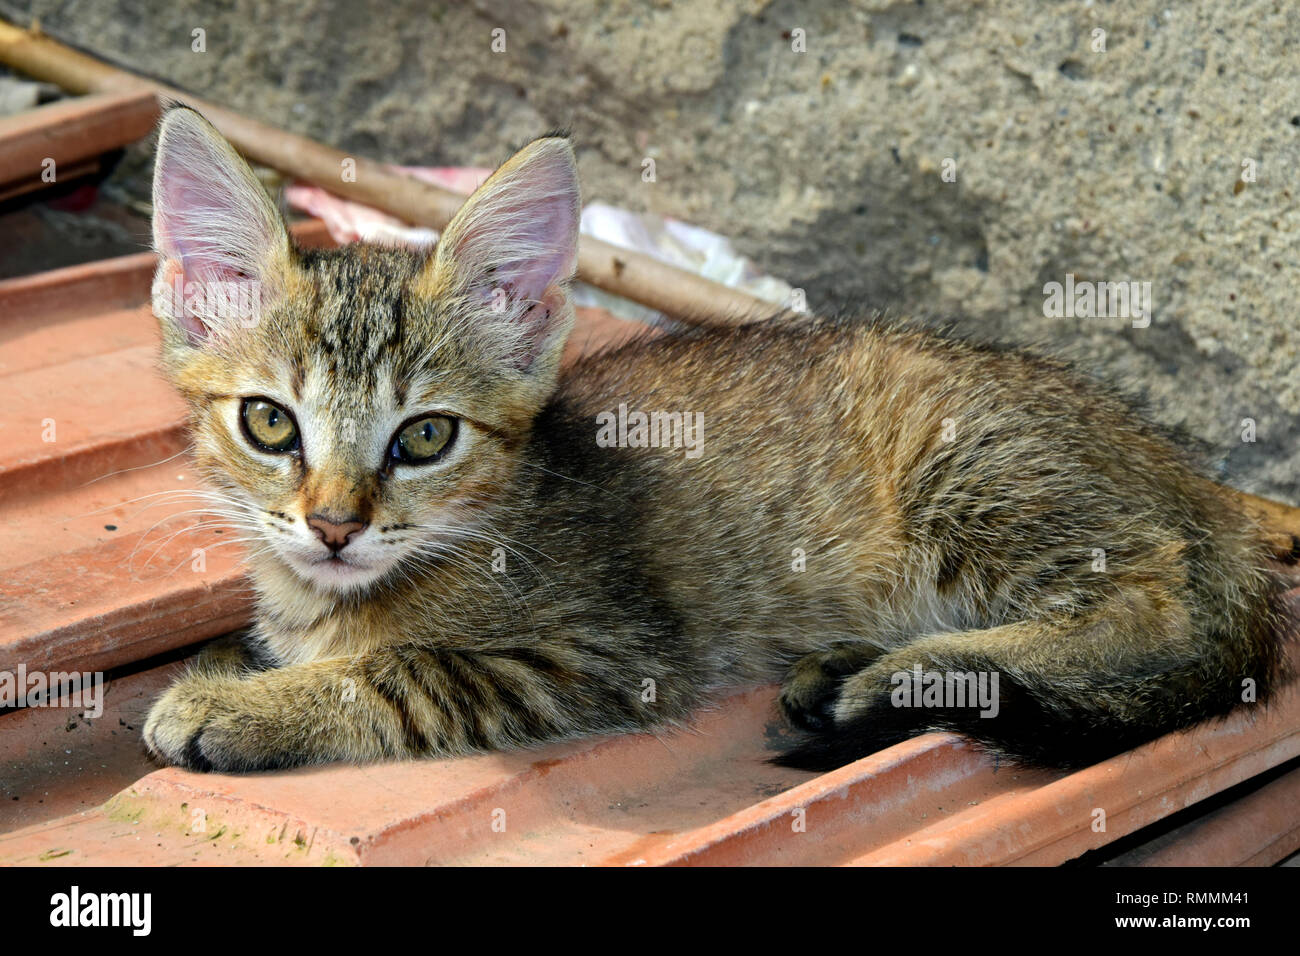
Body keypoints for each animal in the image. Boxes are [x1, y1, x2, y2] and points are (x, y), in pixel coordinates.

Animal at [144, 108, 1289, 775]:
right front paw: (241, 659)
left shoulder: (603, 651)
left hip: (981, 476)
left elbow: (400, 675)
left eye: (424, 435)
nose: (335, 525)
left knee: (1153, 607)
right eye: (269, 422)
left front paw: (242, 705)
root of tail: (1201, 488)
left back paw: (898, 676)